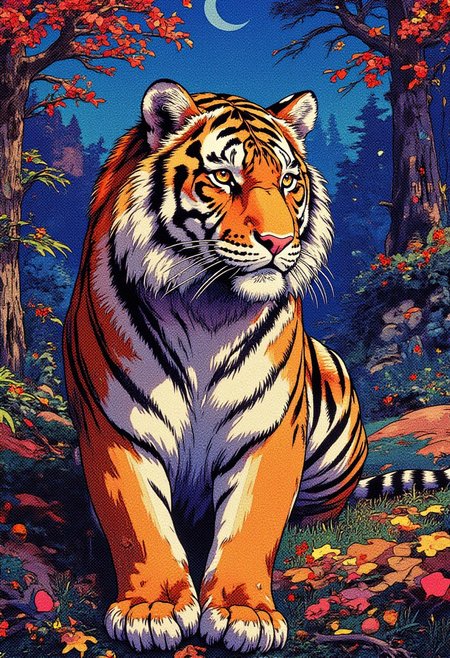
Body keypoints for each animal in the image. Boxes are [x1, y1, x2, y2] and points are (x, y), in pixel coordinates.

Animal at [63, 79, 369, 654]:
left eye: (289, 181)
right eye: (224, 177)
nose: (279, 243)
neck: (209, 309)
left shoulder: (268, 428)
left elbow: (252, 524)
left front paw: (244, 613)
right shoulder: (115, 427)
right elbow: (137, 520)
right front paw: (153, 609)